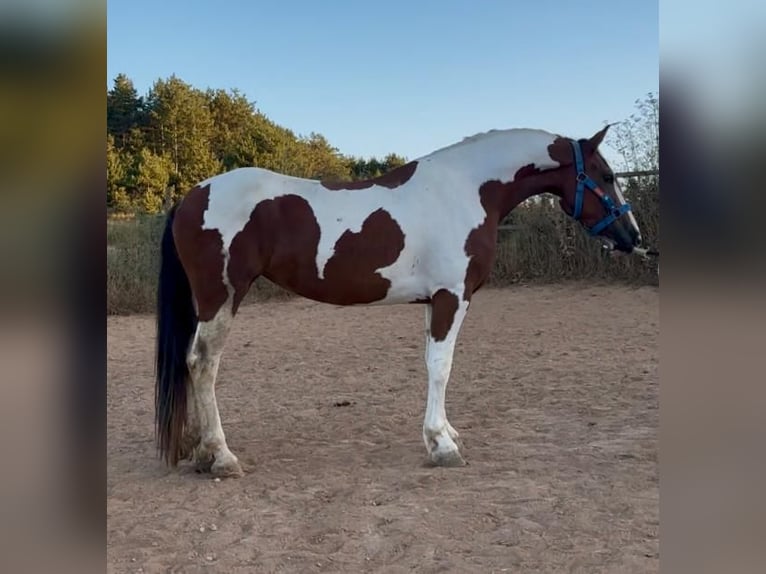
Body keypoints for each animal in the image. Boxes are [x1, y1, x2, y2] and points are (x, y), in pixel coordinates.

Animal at [154, 124, 643, 478]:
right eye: (606, 177)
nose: (633, 237)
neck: (466, 191)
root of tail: (193, 195)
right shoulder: (452, 297)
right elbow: (442, 366)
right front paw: (442, 446)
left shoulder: (433, 301)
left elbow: (431, 364)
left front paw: (446, 433)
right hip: (222, 296)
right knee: (203, 362)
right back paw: (221, 456)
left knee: (189, 362)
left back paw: (198, 451)